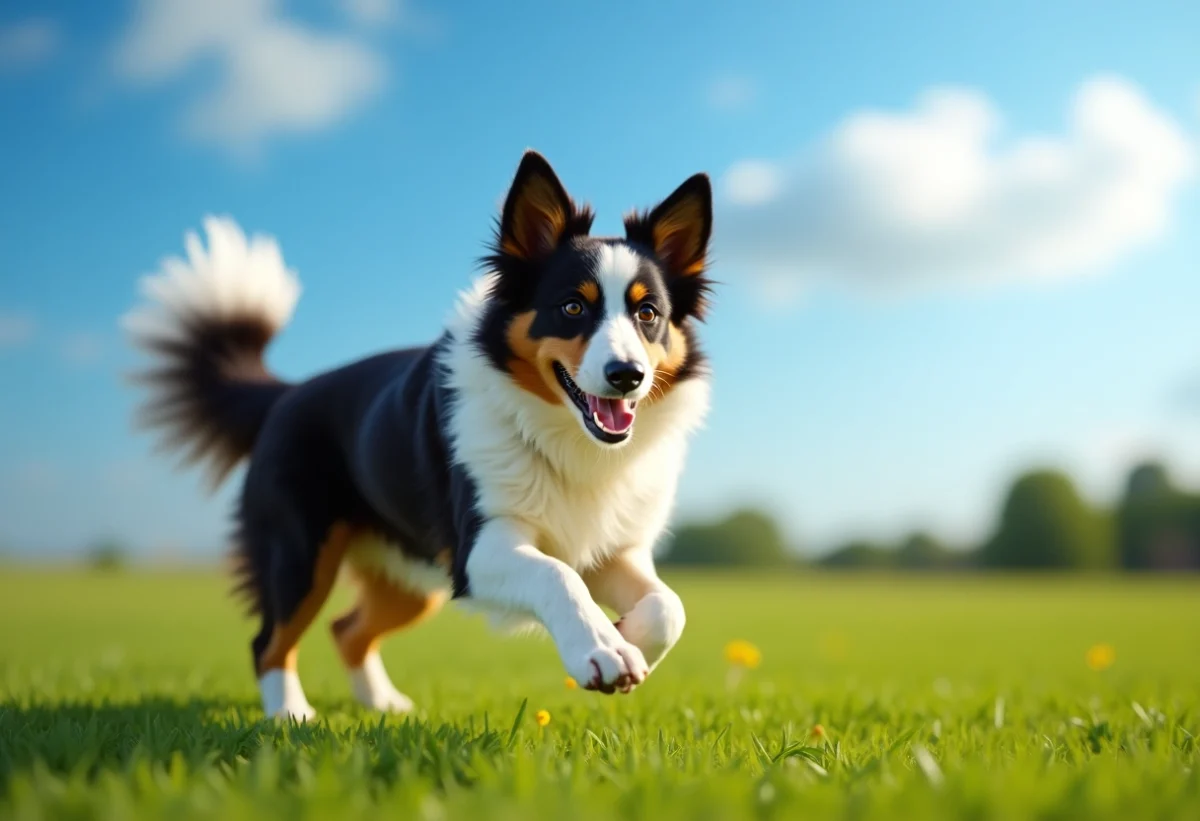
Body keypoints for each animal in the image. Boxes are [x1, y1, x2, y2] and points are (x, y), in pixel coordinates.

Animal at [124, 152, 710, 720]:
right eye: (572, 307)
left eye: (648, 313)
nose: (627, 375)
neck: (566, 439)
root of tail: (286, 394)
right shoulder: (478, 547)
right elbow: (558, 575)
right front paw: (602, 649)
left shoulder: (617, 548)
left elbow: (671, 608)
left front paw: (628, 637)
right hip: (297, 554)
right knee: (268, 641)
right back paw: (290, 715)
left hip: (407, 576)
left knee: (346, 630)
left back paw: (382, 704)